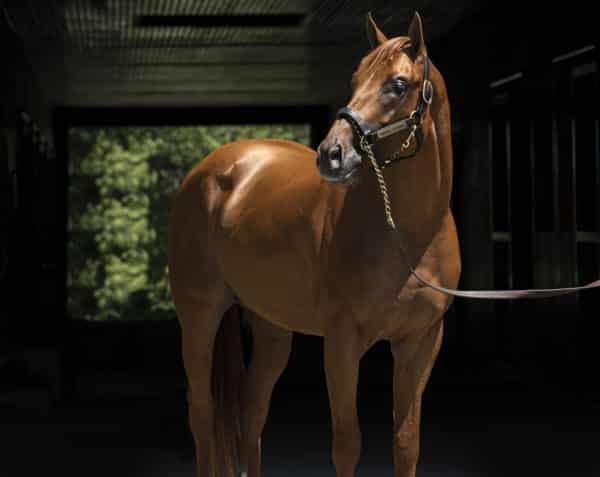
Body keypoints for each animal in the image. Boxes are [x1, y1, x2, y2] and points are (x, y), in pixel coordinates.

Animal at [169, 11, 460, 476]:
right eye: (355, 79)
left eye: (398, 84)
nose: (331, 154)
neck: (408, 235)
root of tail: (209, 170)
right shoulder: (341, 340)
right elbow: (347, 444)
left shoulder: (421, 340)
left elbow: (406, 442)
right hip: (199, 316)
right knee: (202, 412)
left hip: (271, 327)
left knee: (252, 413)